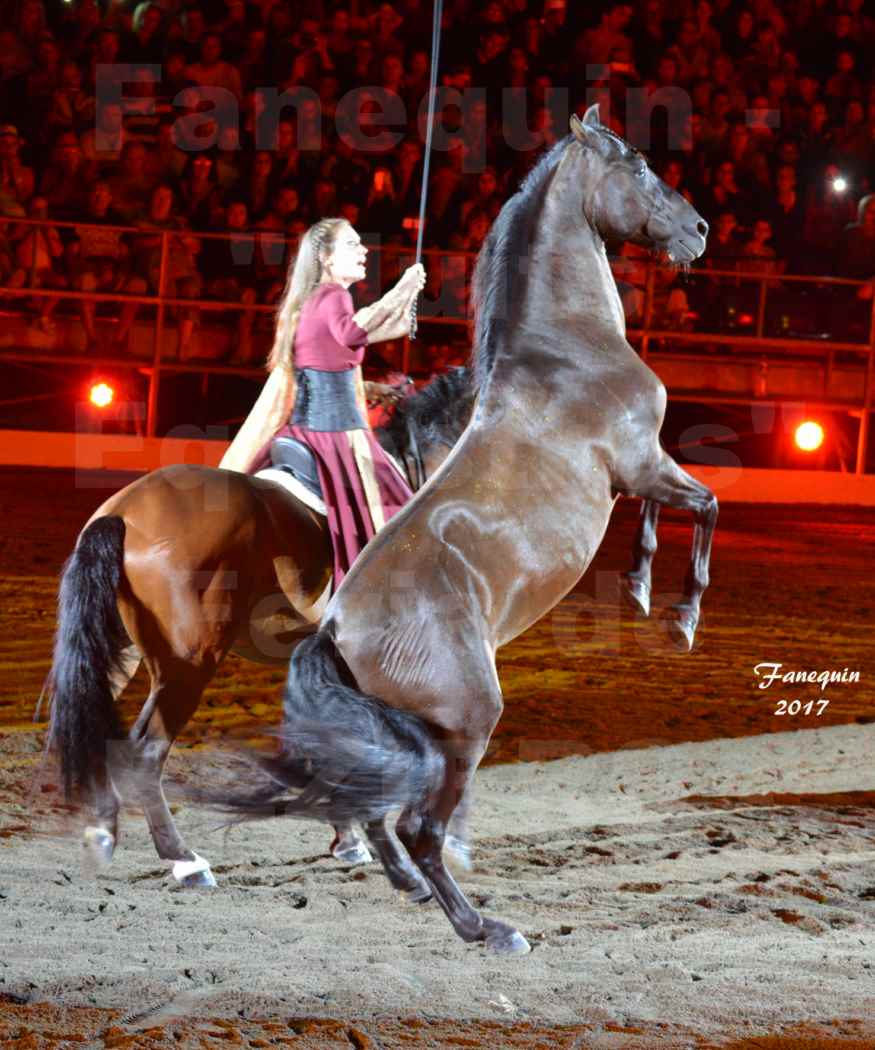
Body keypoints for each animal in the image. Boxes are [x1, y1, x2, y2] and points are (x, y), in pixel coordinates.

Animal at [43, 369, 474, 886]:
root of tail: (123, 512)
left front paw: (347, 839)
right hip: (188, 665)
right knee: (146, 752)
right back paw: (184, 859)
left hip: (118, 652)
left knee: (92, 724)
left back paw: (102, 832)